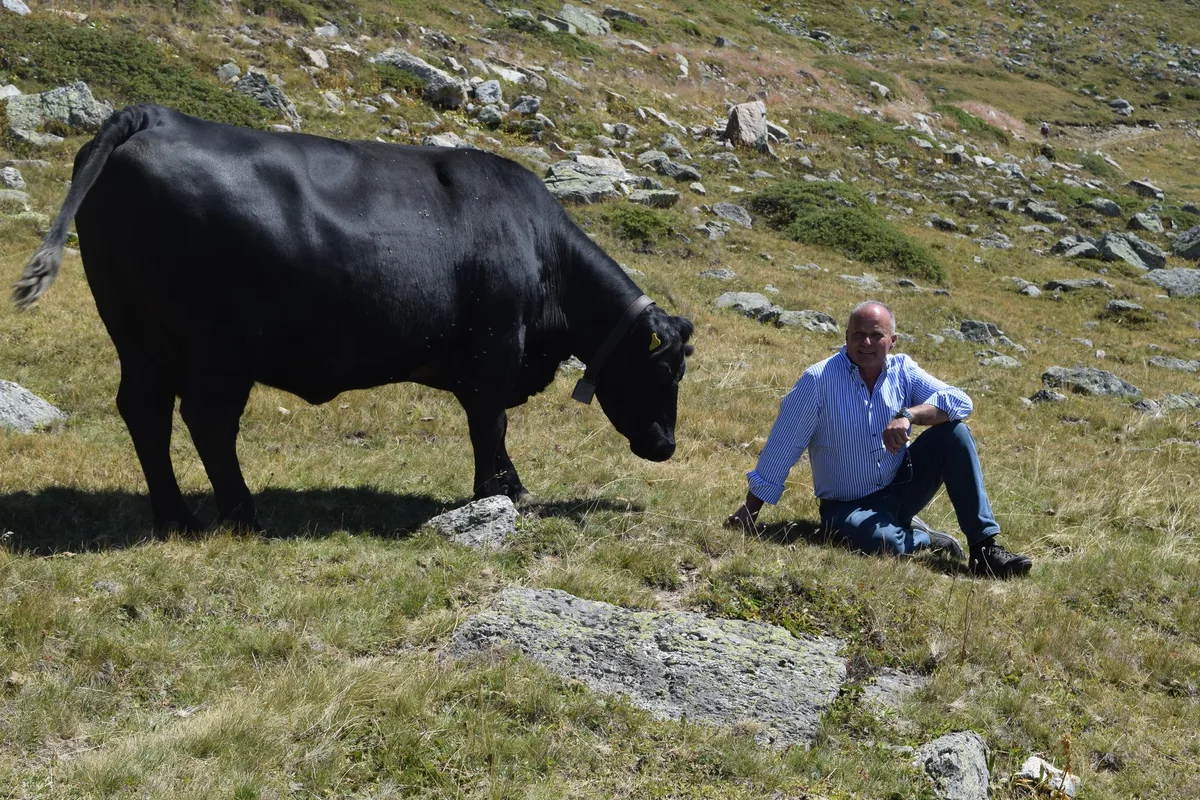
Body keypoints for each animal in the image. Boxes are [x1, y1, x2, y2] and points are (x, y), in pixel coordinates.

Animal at [13, 105, 694, 533]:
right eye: (665, 372)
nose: (665, 446)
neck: (540, 250)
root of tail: (151, 115)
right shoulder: (493, 351)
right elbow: (490, 425)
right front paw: (504, 491)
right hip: (218, 347)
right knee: (207, 420)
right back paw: (243, 516)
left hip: (141, 336)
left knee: (145, 412)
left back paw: (176, 517)